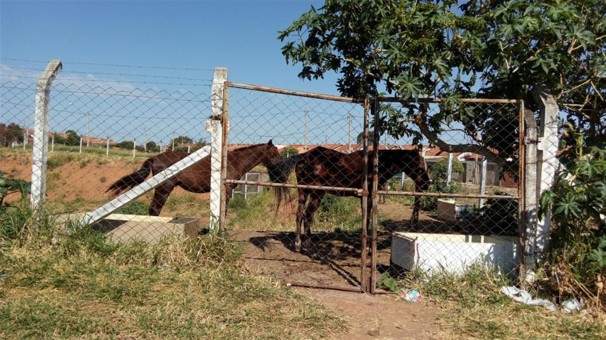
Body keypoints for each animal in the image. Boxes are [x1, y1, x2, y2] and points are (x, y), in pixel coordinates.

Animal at [108, 139, 282, 215]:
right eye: (273, 153)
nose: (280, 165)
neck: (233, 162)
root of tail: (155, 158)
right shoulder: (226, 190)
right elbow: (224, 210)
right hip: (164, 187)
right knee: (155, 209)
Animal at [268, 146, 430, 252]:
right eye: (419, 167)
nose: (426, 184)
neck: (375, 165)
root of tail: (304, 156)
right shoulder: (369, 196)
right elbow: (367, 219)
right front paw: (367, 246)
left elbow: (365, 218)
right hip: (316, 193)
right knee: (307, 215)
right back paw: (306, 243)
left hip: (303, 192)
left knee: (299, 215)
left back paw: (298, 244)